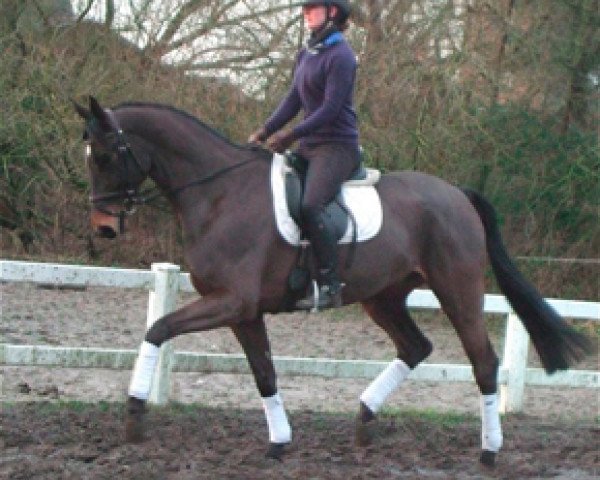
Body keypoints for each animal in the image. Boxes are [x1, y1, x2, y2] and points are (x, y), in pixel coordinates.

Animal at [75, 95, 592, 466]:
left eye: (105, 155)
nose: (102, 226)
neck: (219, 193)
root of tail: (458, 195)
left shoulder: (230, 302)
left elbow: (157, 329)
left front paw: (134, 414)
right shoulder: (243, 311)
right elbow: (264, 372)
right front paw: (279, 443)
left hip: (457, 289)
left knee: (483, 362)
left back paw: (489, 451)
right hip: (384, 296)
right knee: (415, 347)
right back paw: (364, 418)